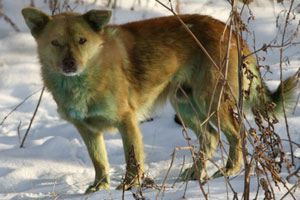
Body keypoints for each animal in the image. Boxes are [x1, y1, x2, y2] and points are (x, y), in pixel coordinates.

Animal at [21, 7, 300, 192]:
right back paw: (196, 172)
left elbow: (132, 159)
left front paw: (129, 186)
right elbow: (99, 160)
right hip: (185, 105)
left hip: (212, 101)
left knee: (237, 133)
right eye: (55, 43)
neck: (82, 80)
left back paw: (230, 170)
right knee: (210, 137)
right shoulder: (87, 130)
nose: (70, 64)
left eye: (82, 41)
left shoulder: (126, 121)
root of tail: (228, 29)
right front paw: (99, 188)